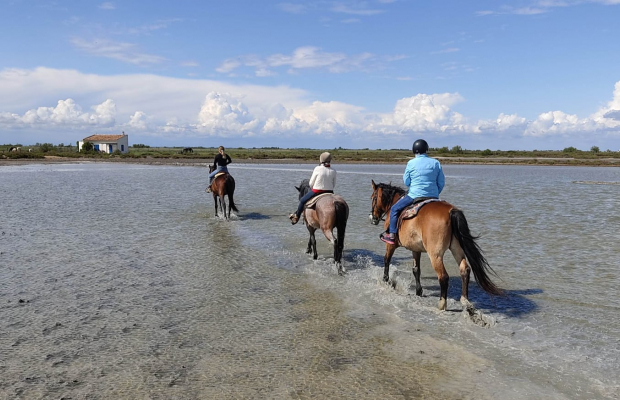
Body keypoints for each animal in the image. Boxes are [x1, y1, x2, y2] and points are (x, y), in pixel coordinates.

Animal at [370, 180, 502, 310]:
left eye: (373, 197)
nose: (373, 217)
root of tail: (451, 212)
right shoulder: (415, 249)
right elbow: (416, 269)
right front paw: (418, 291)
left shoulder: (391, 245)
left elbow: (386, 260)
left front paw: (385, 280)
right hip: (457, 249)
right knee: (464, 270)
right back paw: (465, 301)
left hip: (435, 254)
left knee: (443, 276)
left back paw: (442, 303)